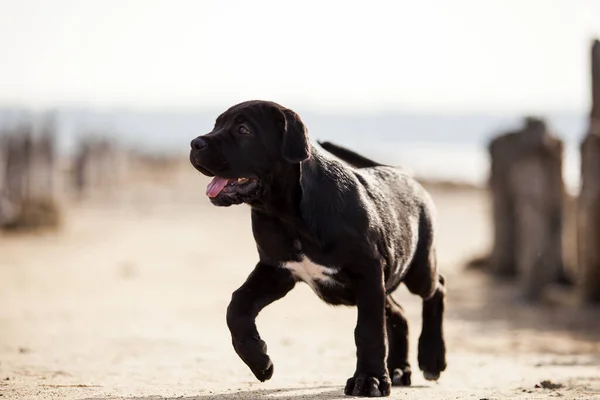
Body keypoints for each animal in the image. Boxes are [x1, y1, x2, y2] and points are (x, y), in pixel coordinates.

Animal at [190, 101, 448, 396]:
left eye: (243, 129)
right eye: (216, 125)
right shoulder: (276, 270)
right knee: (398, 313)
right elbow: (237, 306)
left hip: (418, 269)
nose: (195, 143)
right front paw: (259, 361)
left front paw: (369, 379)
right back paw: (398, 370)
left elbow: (368, 331)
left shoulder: (367, 271)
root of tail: (402, 173)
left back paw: (432, 357)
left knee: (436, 288)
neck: (288, 215)